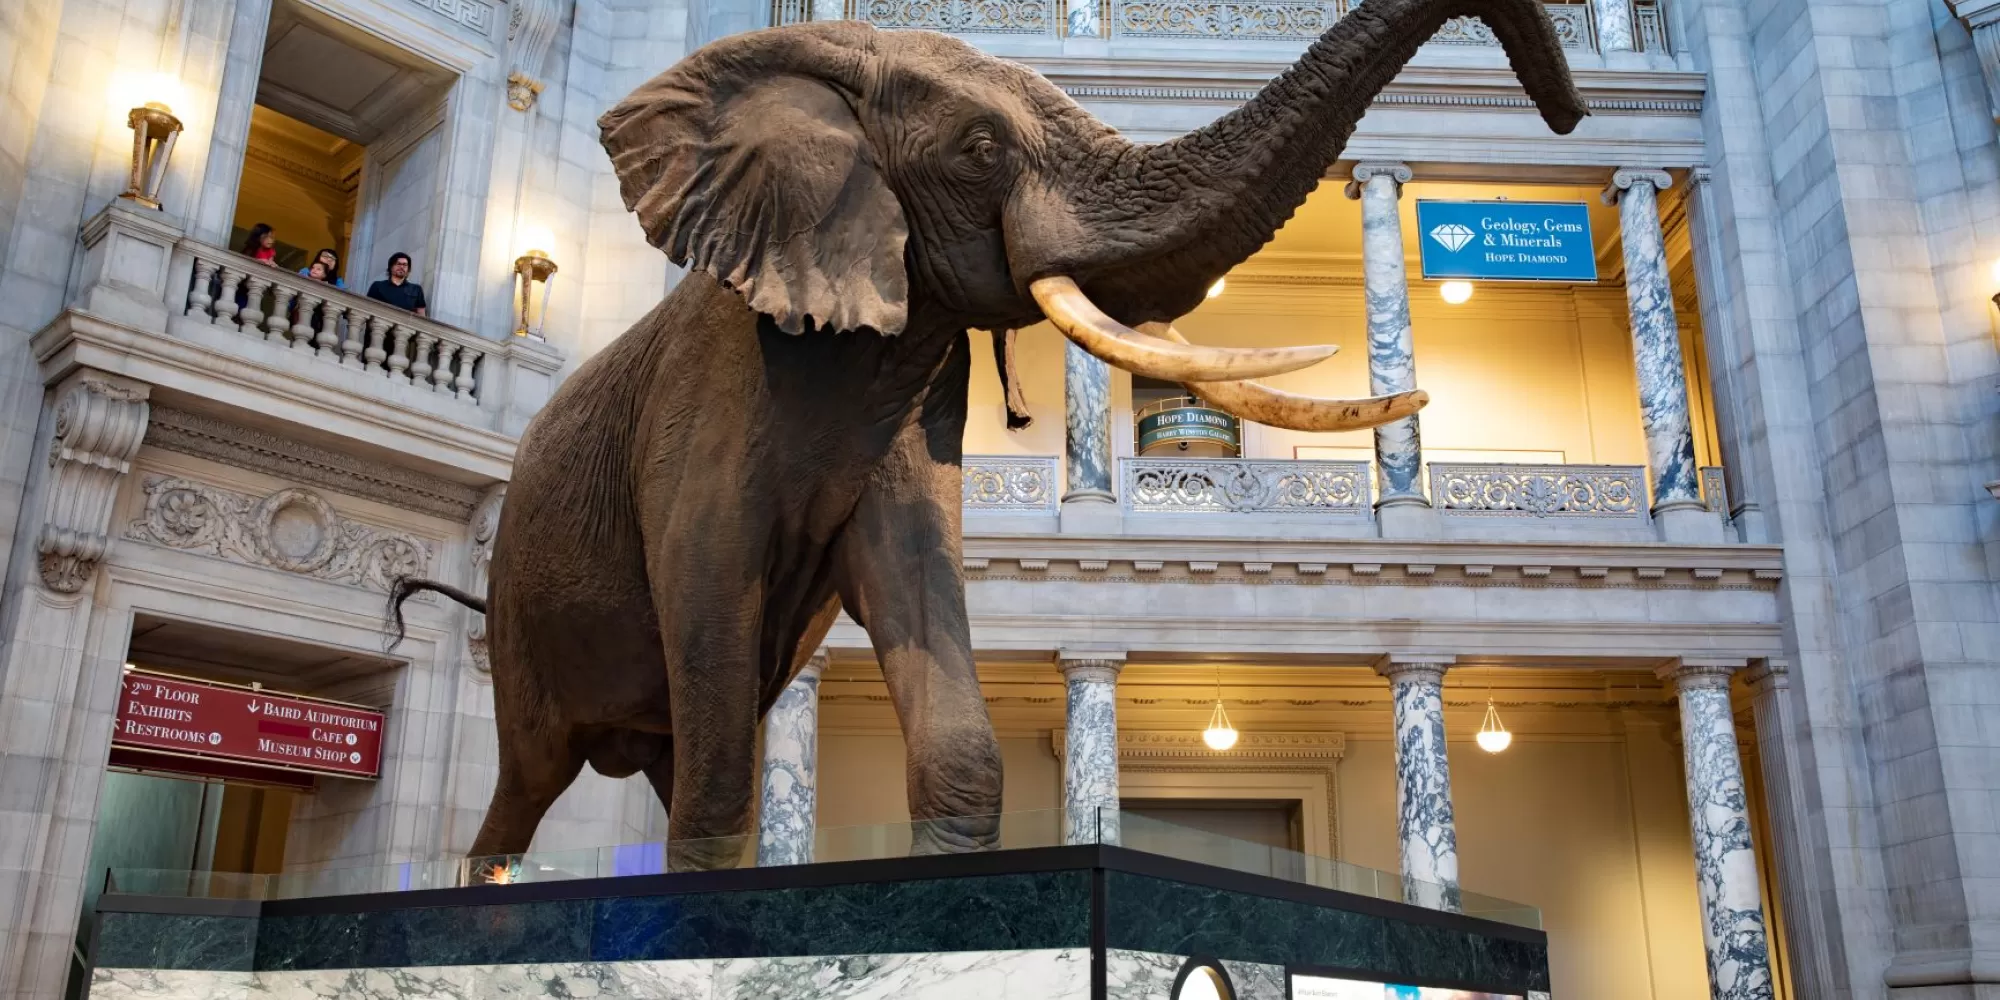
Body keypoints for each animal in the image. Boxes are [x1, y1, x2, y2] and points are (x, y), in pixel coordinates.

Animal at [386, 0, 1576, 872]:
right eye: (980, 147)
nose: (1562, 105)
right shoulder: (715, 386)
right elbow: (713, 608)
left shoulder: (916, 387)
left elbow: (916, 588)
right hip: (521, 620)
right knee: (531, 782)